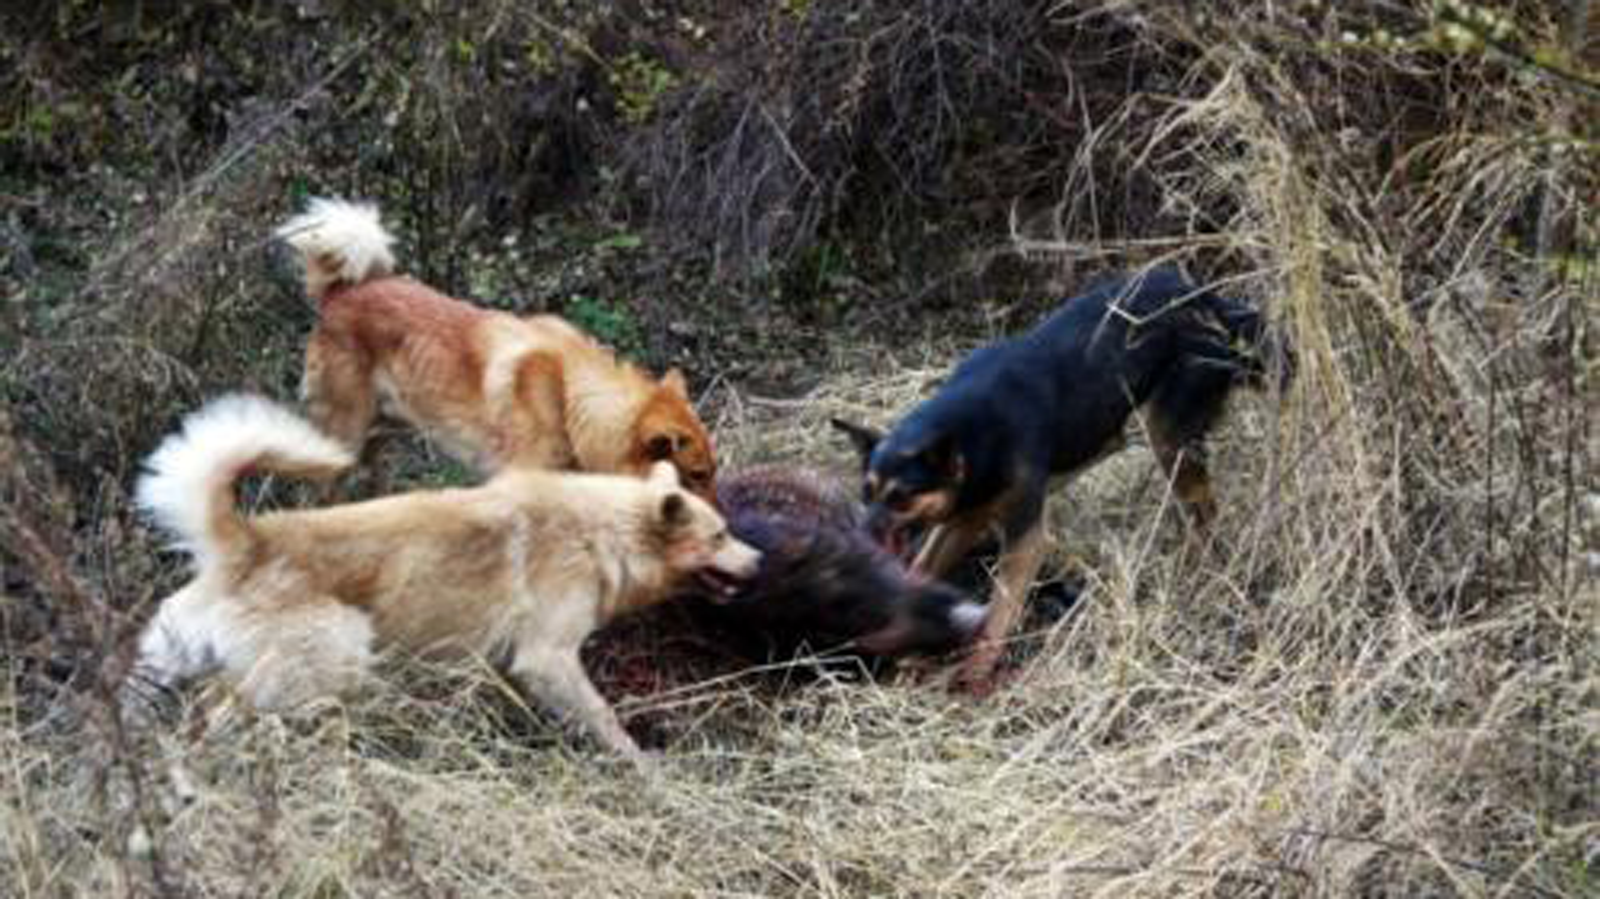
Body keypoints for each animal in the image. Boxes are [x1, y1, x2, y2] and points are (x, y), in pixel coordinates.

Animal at [121, 391, 758, 755]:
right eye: (718, 536)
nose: (760, 561)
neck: (599, 530)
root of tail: (246, 544)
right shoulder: (549, 658)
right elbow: (603, 717)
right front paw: (639, 763)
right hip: (328, 660)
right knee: (219, 712)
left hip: (162, 667)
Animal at [276, 198, 720, 499]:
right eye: (697, 475)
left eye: (713, 473)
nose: (725, 528)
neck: (568, 398)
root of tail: (340, 294)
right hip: (343, 446)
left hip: (381, 440)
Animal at [832, 265, 1292, 684]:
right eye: (866, 492)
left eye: (901, 496)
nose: (859, 537)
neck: (975, 429)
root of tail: (1210, 301)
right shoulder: (962, 520)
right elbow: (922, 572)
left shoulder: (1025, 537)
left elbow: (999, 614)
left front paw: (974, 675)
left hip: (1170, 441)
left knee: (1206, 521)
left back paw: (1207, 576)